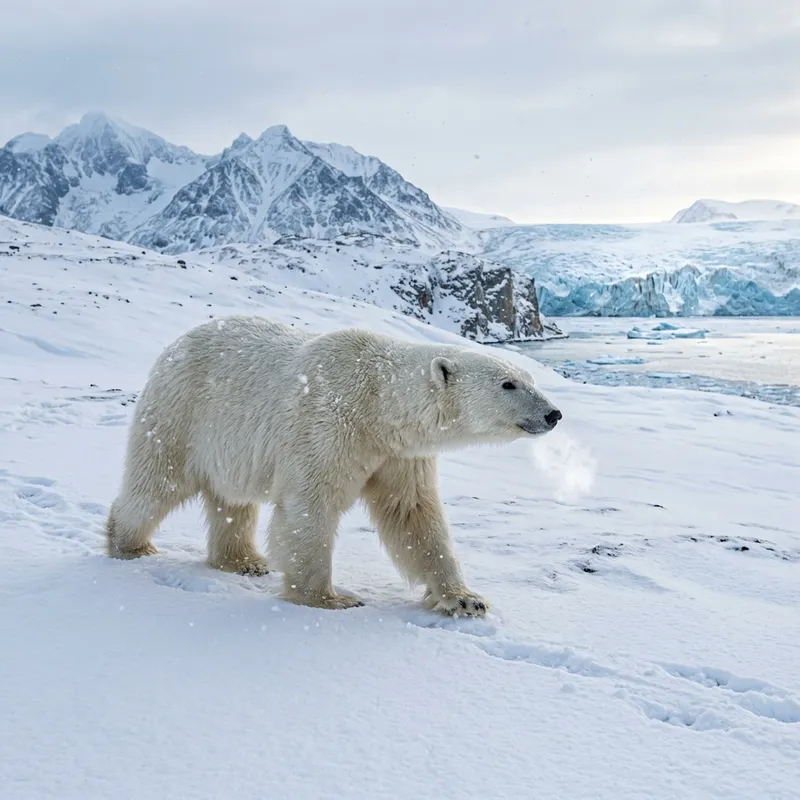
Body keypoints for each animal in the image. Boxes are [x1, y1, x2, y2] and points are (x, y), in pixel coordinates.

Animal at [106, 316, 562, 615]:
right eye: (508, 384)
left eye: (529, 378)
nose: (553, 413)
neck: (378, 403)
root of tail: (174, 346)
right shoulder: (327, 424)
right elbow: (311, 506)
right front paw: (330, 598)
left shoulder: (398, 453)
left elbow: (413, 514)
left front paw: (466, 599)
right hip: (183, 414)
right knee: (157, 481)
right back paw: (128, 544)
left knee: (231, 502)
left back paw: (244, 561)